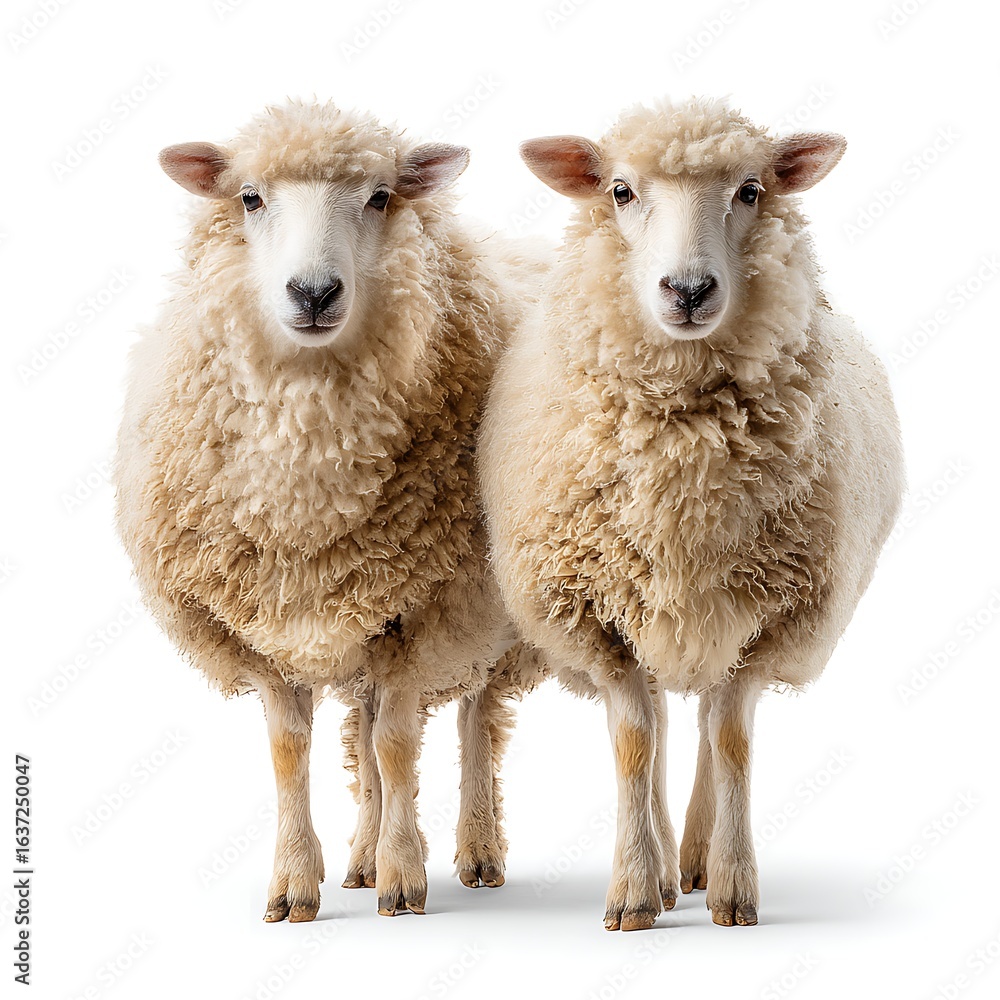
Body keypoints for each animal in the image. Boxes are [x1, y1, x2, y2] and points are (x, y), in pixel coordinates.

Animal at [114, 100, 545, 922]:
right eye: (250, 197)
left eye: (379, 197)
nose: (313, 294)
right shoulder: (268, 617)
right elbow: (295, 751)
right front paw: (296, 884)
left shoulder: (427, 608)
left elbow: (400, 747)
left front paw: (405, 877)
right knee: (367, 732)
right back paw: (361, 858)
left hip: (487, 611)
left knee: (474, 718)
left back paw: (475, 850)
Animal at [479, 97, 904, 930]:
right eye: (619, 190)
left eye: (750, 190)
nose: (688, 290)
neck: (684, 458)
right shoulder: (597, 617)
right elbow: (634, 744)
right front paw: (634, 890)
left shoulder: (772, 612)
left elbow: (732, 738)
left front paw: (735, 886)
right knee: (666, 723)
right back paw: (669, 866)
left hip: (723, 603)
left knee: (707, 719)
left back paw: (700, 858)